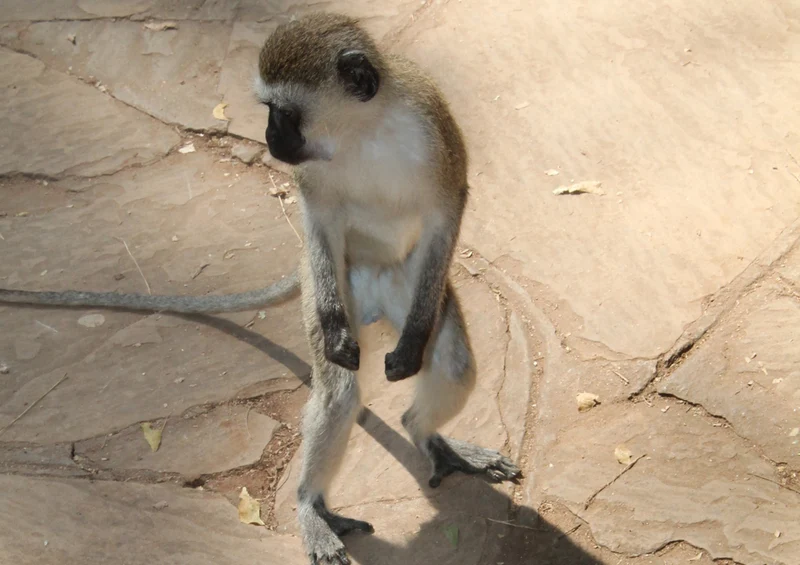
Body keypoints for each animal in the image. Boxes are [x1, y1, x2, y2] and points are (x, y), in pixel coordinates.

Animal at [0, 13, 521, 565]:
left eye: (283, 112)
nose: (268, 135)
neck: (363, 130)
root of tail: (376, 296)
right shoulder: (319, 188)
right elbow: (319, 216)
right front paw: (336, 333)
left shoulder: (431, 127)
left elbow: (447, 209)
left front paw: (415, 341)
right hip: (331, 282)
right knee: (338, 392)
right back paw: (313, 505)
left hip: (409, 280)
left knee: (454, 364)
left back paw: (428, 436)